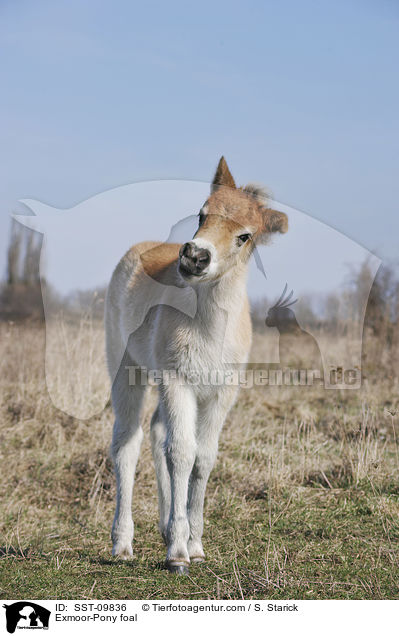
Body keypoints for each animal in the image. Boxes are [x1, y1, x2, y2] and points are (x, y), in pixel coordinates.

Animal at [105, 157, 288, 572]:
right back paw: (123, 543)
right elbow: (182, 454)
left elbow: (202, 458)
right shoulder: (178, 381)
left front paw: (195, 543)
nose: (194, 257)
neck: (208, 328)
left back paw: (164, 527)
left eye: (245, 236)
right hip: (126, 368)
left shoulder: (222, 392)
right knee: (128, 442)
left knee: (157, 432)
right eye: (202, 215)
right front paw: (177, 553)